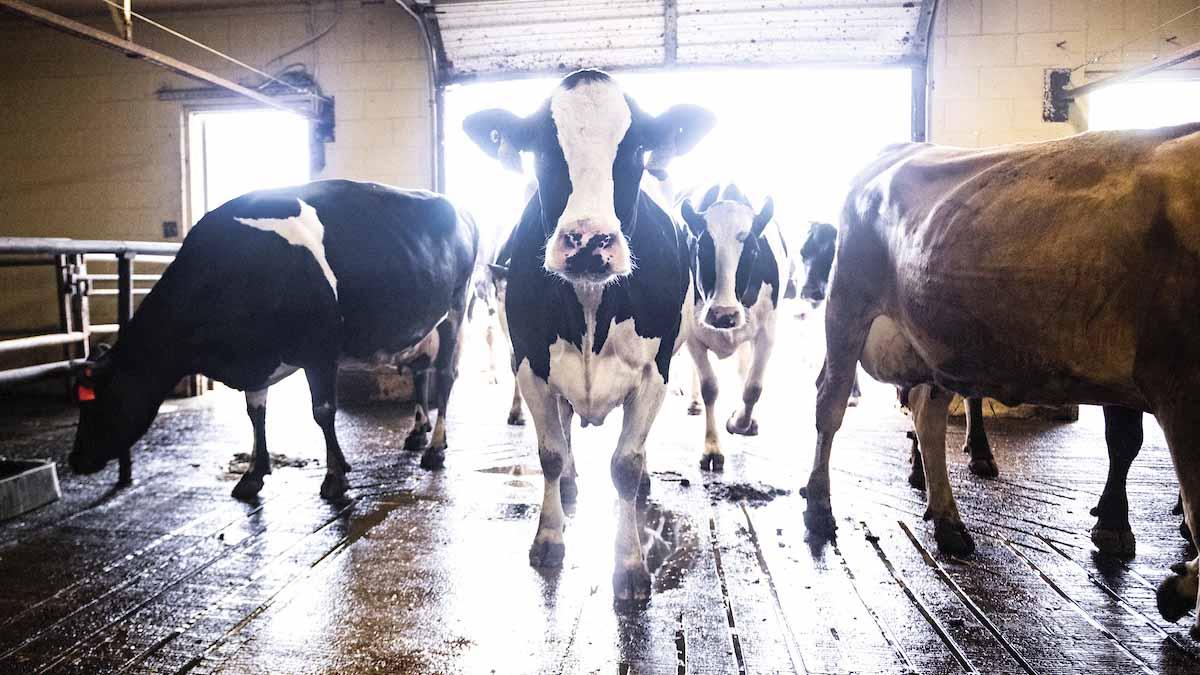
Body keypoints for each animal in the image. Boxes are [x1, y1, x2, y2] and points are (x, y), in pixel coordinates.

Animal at [70, 181, 477, 497]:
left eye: (100, 398)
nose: (76, 460)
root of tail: (459, 206)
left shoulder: (319, 349)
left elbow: (322, 412)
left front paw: (335, 476)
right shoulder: (255, 356)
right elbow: (256, 413)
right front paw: (254, 473)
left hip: (455, 311)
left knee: (445, 376)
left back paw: (435, 449)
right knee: (421, 371)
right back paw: (421, 434)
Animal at [463, 69, 710, 605]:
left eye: (634, 151)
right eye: (542, 151)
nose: (589, 241)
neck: (591, 302)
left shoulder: (654, 374)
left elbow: (626, 465)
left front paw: (630, 564)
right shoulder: (531, 364)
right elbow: (551, 453)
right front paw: (549, 538)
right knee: (563, 427)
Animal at [686, 181, 787, 470]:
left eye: (753, 251)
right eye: (702, 249)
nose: (724, 314)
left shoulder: (767, 331)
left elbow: (753, 387)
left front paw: (739, 422)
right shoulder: (691, 333)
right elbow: (710, 387)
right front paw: (712, 449)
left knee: (744, 368)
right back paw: (694, 402)